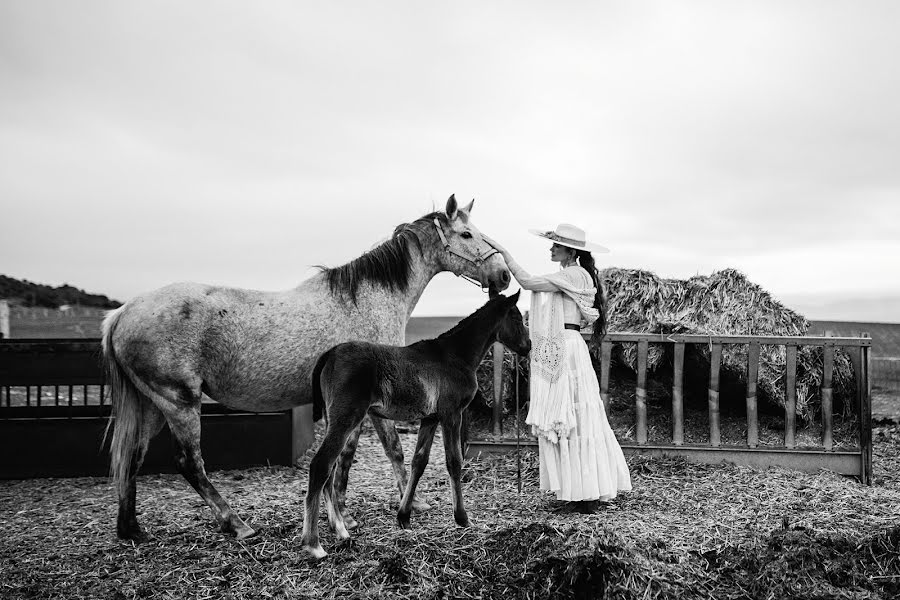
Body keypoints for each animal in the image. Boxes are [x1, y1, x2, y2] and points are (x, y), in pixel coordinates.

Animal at [102, 195, 510, 540]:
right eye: (467, 234)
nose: (503, 275)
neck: (366, 299)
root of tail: (122, 313)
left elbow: (357, 454)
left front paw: (346, 512)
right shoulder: (371, 401)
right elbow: (383, 450)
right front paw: (391, 508)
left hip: (153, 405)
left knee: (132, 456)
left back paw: (131, 530)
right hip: (179, 403)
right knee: (190, 463)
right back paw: (237, 524)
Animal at [298, 290, 532, 556]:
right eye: (517, 317)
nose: (528, 346)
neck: (455, 356)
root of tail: (330, 353)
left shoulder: (430, 419)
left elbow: (419, 462)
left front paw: (404, 517)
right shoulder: (451, 414)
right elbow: (454, 462)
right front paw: (462, 518)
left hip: (334, 421)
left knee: (330, 469)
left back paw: (341, 531)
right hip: (346, 418)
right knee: (321, 466)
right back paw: (314, 544)